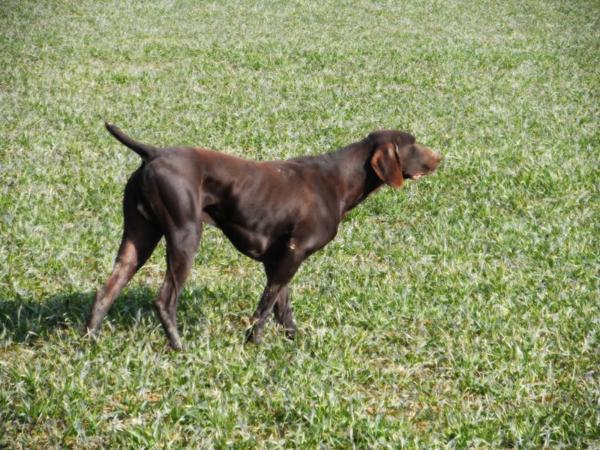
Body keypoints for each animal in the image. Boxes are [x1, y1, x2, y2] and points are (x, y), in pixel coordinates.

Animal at [85, 123, 440, 348]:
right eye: (412, 144)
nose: (440, 157)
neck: (339, 179)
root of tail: (153, 153)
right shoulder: (294, 252)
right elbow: (266, 307)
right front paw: (253, 344)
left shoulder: (280, 258)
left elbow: (282, 306)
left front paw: (294, 343)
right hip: (185, 236)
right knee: (165, 300)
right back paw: (179, 347)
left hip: (138, 239)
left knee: (106, 291)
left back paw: (90, 340)